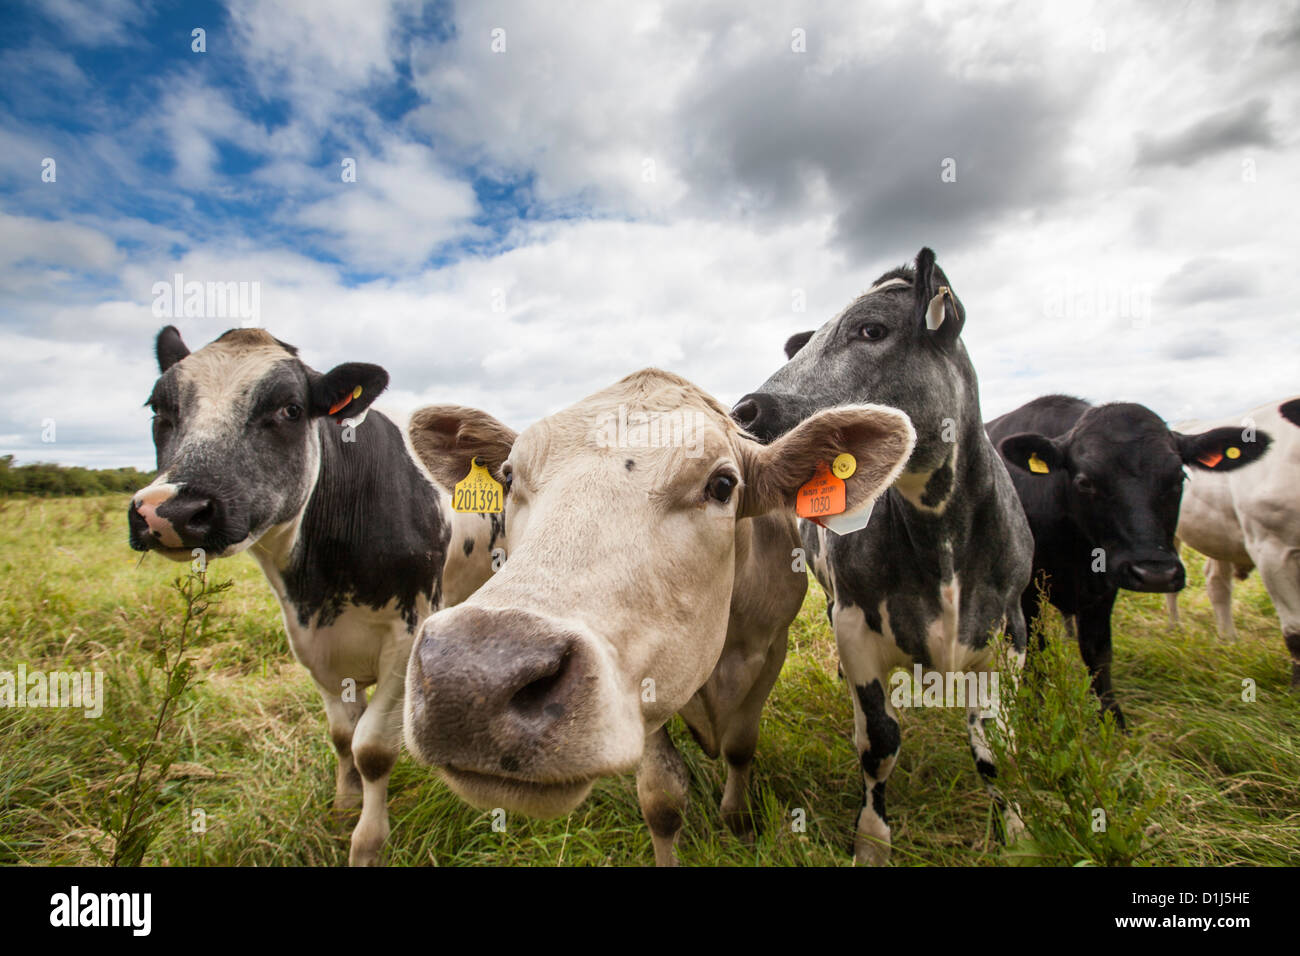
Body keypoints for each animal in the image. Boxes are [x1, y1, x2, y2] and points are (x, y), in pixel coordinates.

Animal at [397, 369, 915, 863]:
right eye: (506, 478)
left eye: (722, 484)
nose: (472, 677)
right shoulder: (646, 678)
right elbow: (662, 797)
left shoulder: (771, 649)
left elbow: (740, 745)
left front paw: (739, 823)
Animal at [738, 247, 1029, 868]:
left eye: (871, 329)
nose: (745, 409)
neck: (941, 535)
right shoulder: (855, 623)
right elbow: (879, 742)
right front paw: (872, 840)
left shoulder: (1009, 631)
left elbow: (997, 745)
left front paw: (1018, 828)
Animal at [987, 392, 1274, 723]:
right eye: (1085, 482)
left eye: (1179, 477)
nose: (1155, 574)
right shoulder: (1025, 592)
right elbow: (1036, 651)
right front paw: (1033, 711)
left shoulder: (1103, 588)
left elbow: (1098, 652)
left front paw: (1112, 719)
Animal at [1170, 395, 1300, 686]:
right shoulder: (1271, 549)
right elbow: (1295, 630)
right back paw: (1175, 629)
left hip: (1219, 536)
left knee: (1216, 582)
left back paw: (1228, 640)